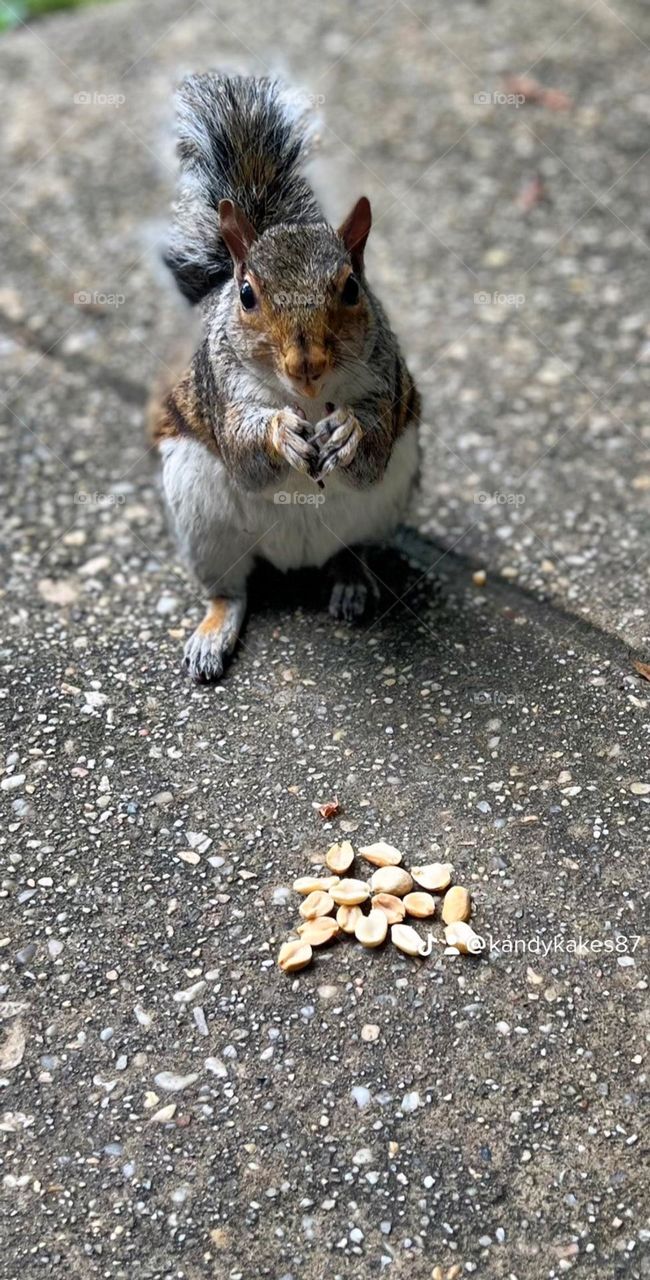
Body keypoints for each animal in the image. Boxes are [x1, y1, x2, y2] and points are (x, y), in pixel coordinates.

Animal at [150, 74, 421, 682]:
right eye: (247, 294)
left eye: (352, 288)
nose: (307, 366)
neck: (311, 400)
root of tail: (296, 556)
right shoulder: (222, 389)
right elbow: (245, 453)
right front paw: (279, 432)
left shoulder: (386, 380)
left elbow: (370, 453)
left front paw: (349, 432)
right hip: (202, 523)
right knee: (230, 591)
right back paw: (213, 633)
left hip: (385, 506)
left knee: (351, 550)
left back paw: (350, 582)